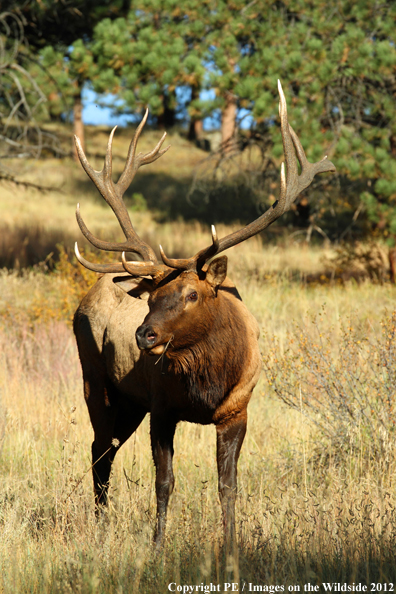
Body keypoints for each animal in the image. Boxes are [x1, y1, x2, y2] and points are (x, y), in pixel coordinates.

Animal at [72, 82, 334, 544]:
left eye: (192, 294)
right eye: (151, 298)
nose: (144, 335)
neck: (207, 385)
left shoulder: (237, 410)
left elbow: (228, 485)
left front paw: (230, 546)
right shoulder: (162, 407)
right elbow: (165, 482)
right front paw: (158, 545)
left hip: (131, 401)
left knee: (107, 448)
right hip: (96, 378)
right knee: (100, 451)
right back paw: (101, 525)